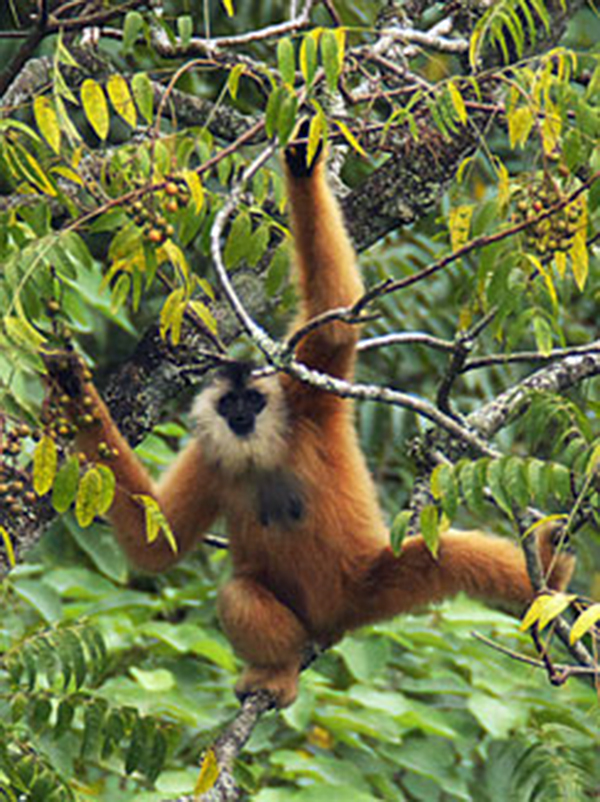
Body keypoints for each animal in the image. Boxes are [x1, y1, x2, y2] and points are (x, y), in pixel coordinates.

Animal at [44, 130, 575, 710]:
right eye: (230, 406)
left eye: (254, 402)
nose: (241, 418)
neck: (264, 451)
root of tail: (335, 622)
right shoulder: (210, 457)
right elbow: (155, 546)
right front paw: (75, 392)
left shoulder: (309, 403)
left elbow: (336, 324)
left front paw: (301, 163)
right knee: (241, 593)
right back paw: (277, 673)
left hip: (369, 582)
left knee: (449, 556)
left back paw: (550, 570)